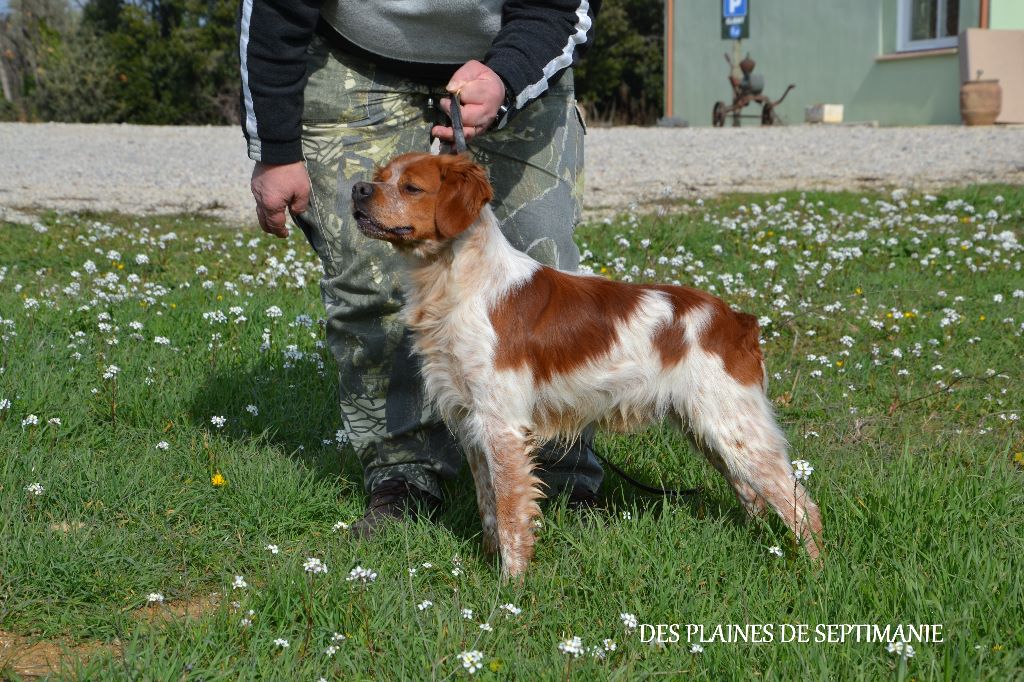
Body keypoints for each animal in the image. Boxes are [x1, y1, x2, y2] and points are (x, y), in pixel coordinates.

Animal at [352, 152, 823, 573]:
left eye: (411, 187)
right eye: (381, 176)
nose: (357, 189)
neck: (456, 280)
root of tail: (736, 319)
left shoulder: (502, 426)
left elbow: (510, 516)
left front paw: (511, 587)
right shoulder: (472, 422)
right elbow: (489, 508)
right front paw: (485, 567)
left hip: (732, 426)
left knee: (800, 503)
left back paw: (815, 571)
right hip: (708, 429)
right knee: (754, 495)